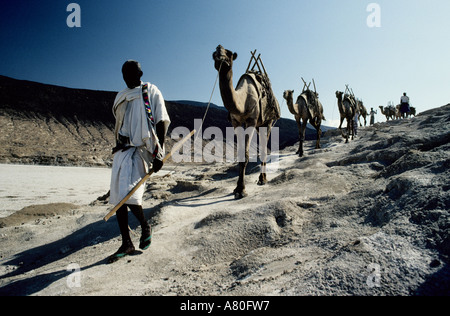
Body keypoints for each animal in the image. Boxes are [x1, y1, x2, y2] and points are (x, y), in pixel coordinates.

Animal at [213, 45, 280, 199]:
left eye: (229, 53)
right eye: (213, 54)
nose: (219, 51)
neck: (242, 101)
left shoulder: (251, 120)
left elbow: (246, 155)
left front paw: (241, 190)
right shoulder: (236, 122)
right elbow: (240, 154)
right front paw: (237, 188)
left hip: (268, 122)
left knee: (264, 148)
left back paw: (262, 179)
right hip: (259, 125)